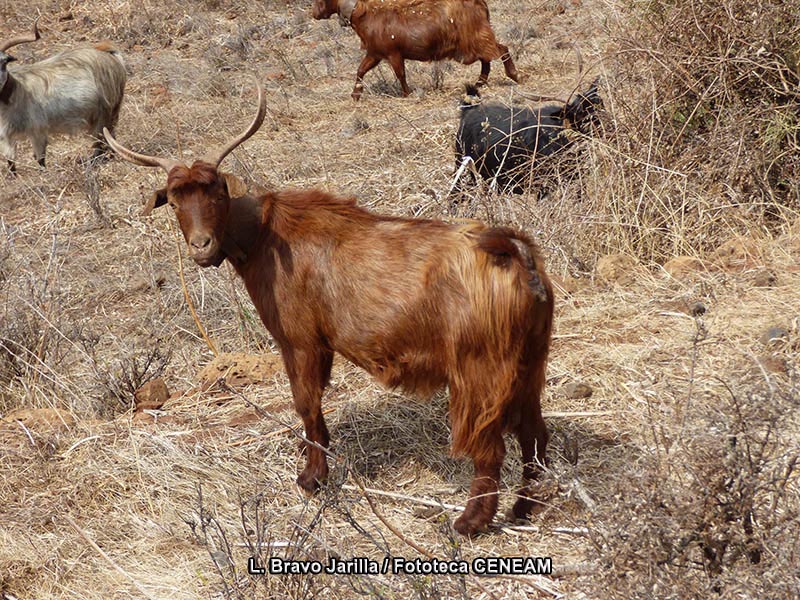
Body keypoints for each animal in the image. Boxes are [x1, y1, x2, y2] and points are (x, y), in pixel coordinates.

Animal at [0, 22, 126, 172]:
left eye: (4, 62)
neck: (17, 91)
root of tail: (108, 53)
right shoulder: (6, 137)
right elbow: (11, 163)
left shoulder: (38, 130)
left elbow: (40, 160)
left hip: (105, 113)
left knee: (100, 143)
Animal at [104, 83, 556, 536]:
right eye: (174, 201)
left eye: (217, 192)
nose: (202, 246)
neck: (265, 235)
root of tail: (516, 255)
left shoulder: (301, 342)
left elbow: (308, 407)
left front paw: (311, 479)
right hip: (530, 364)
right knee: (534, 435)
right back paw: (524, 508)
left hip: (480, 372)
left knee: (490, 447)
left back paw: (470, 521)